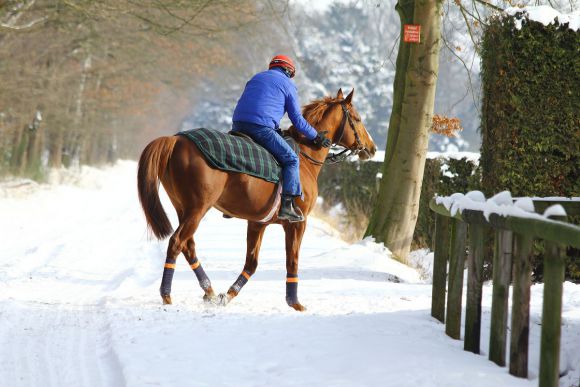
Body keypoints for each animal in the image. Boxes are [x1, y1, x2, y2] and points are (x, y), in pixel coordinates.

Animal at [138, 88, 378, 312]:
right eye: (357, 118)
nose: (372, 148)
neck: (304, 157)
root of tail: (177, 139)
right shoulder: (297, 224)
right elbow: (292, 260)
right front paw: (294, 303)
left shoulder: (257, 223)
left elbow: (251, 263)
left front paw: (228, 295)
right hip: (198, 209)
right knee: (176, 242)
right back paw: (166, 295)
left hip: (184, 209)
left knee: (188, 247)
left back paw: (210, 291)